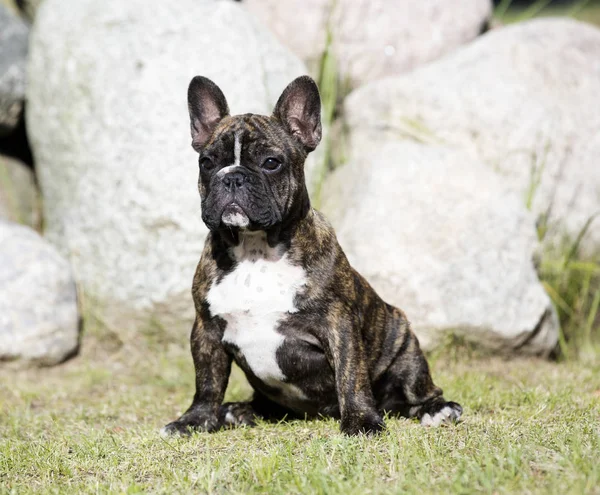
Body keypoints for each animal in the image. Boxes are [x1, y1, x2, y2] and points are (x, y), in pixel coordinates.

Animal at [162, 75, 462, 436]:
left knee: (417, 386)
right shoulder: (206, 330)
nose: (232, 177)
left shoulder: (339, 325)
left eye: (271, 163)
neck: (255, 249)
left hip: (403, 341)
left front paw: (361, 420)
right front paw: (194, 420)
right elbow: (207, 381)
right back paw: (240, 410)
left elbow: (351, 376)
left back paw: (437, 409)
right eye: (206, 163)